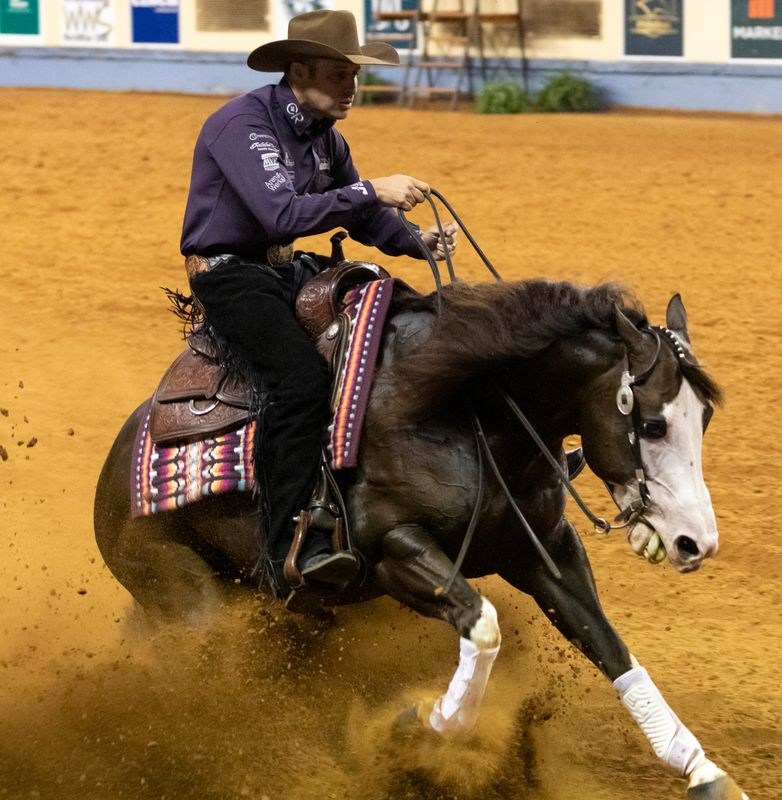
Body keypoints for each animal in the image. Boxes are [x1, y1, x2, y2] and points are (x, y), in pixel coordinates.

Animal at [94, 277, 747, 800]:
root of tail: (113, 470)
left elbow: (610, 647)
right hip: (183, 594)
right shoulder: (392, 553)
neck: (464, 413)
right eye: (653, 424)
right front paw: (420, 726)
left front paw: (703, 771)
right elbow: (484, 626)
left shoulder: (546, 552)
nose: (696, 542)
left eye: (706, 418)